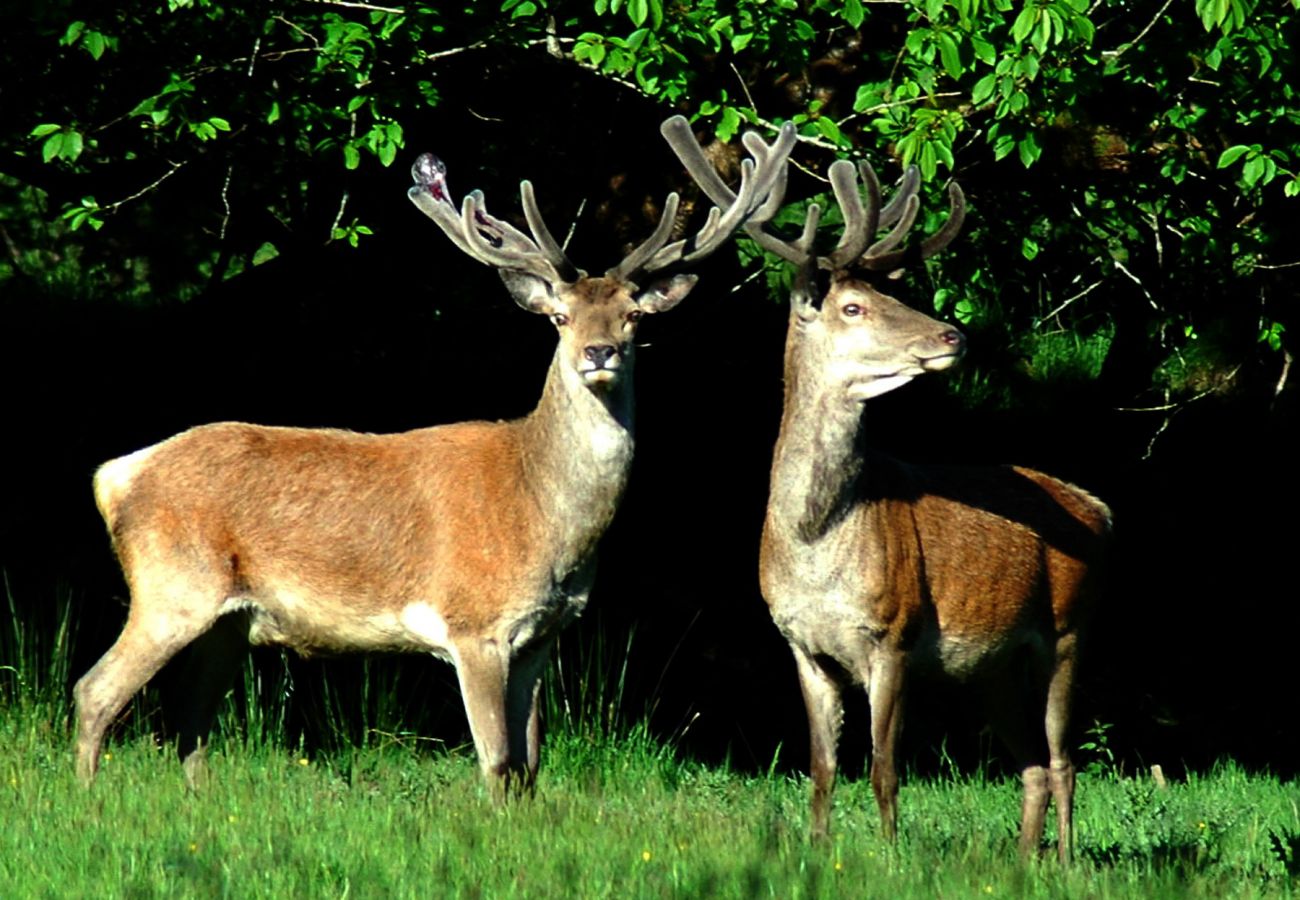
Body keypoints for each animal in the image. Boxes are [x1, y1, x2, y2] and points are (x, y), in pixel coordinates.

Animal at [78, 117, 800, 795]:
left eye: (634, 316)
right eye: (559, 317)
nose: (599, 353)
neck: (544, 515)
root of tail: (115, 475)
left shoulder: (542, 635)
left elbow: (531, 765)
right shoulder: (472, 623)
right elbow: (499, 761)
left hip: (230, 619)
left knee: (188, 717)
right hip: (173, 585)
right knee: (97, 692)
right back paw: (89, 799)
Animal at [670, 117, 1107, 858]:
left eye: (891, 295)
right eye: (853, 307)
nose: (952, 334)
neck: (817, 545)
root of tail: (1100, 508)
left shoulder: (895, 633)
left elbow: (884, 767)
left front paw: (891, 855)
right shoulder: (802, 645)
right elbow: (820, 767)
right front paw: (818, 850)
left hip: (1071, 629)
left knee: (1064, 760)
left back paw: (1069, 862)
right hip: (991, 668)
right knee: (1030, 765)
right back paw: (1026, 862)